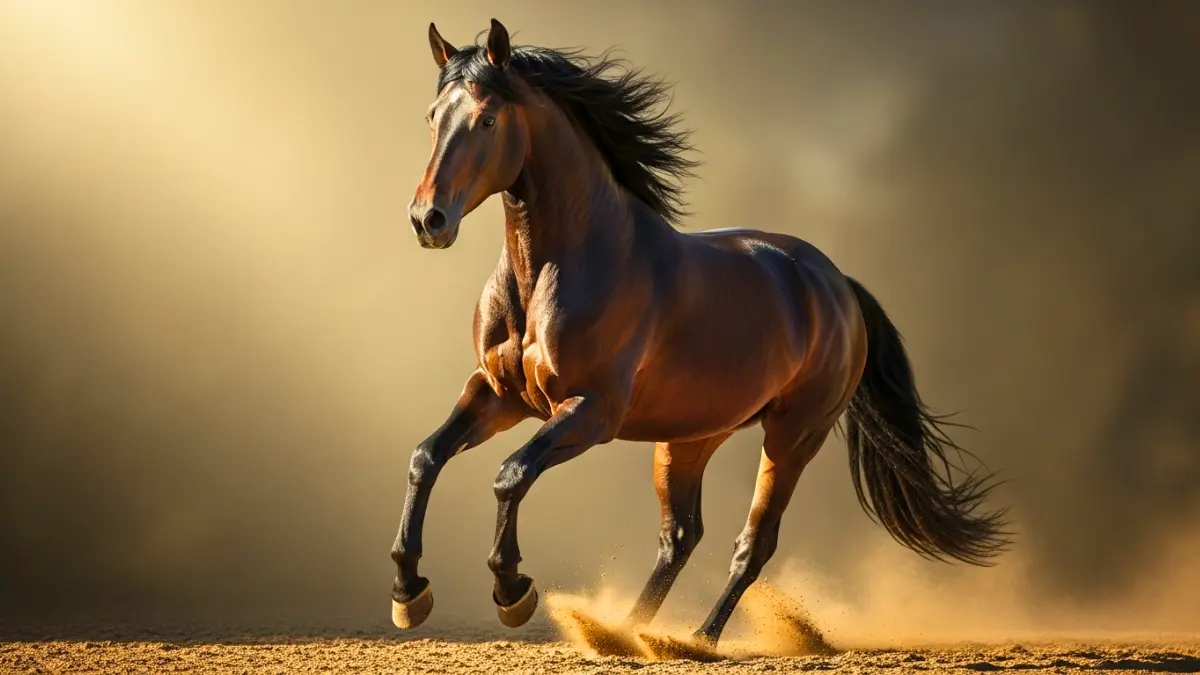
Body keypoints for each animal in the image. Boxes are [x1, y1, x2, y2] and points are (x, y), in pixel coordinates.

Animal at [390, 18, 1009, 648]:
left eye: (488, 119)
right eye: (433, 116)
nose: (428, 219)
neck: (554, 271)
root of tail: (838, 285)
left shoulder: (590, 411)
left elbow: (510, 475)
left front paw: (512, 591)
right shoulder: (499, 394)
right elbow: (426, 456)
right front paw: (409, 593)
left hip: (794, 435)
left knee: (752, 544)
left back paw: (696, 641)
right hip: (689, 438)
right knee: (681, 537)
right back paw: (626, 635)